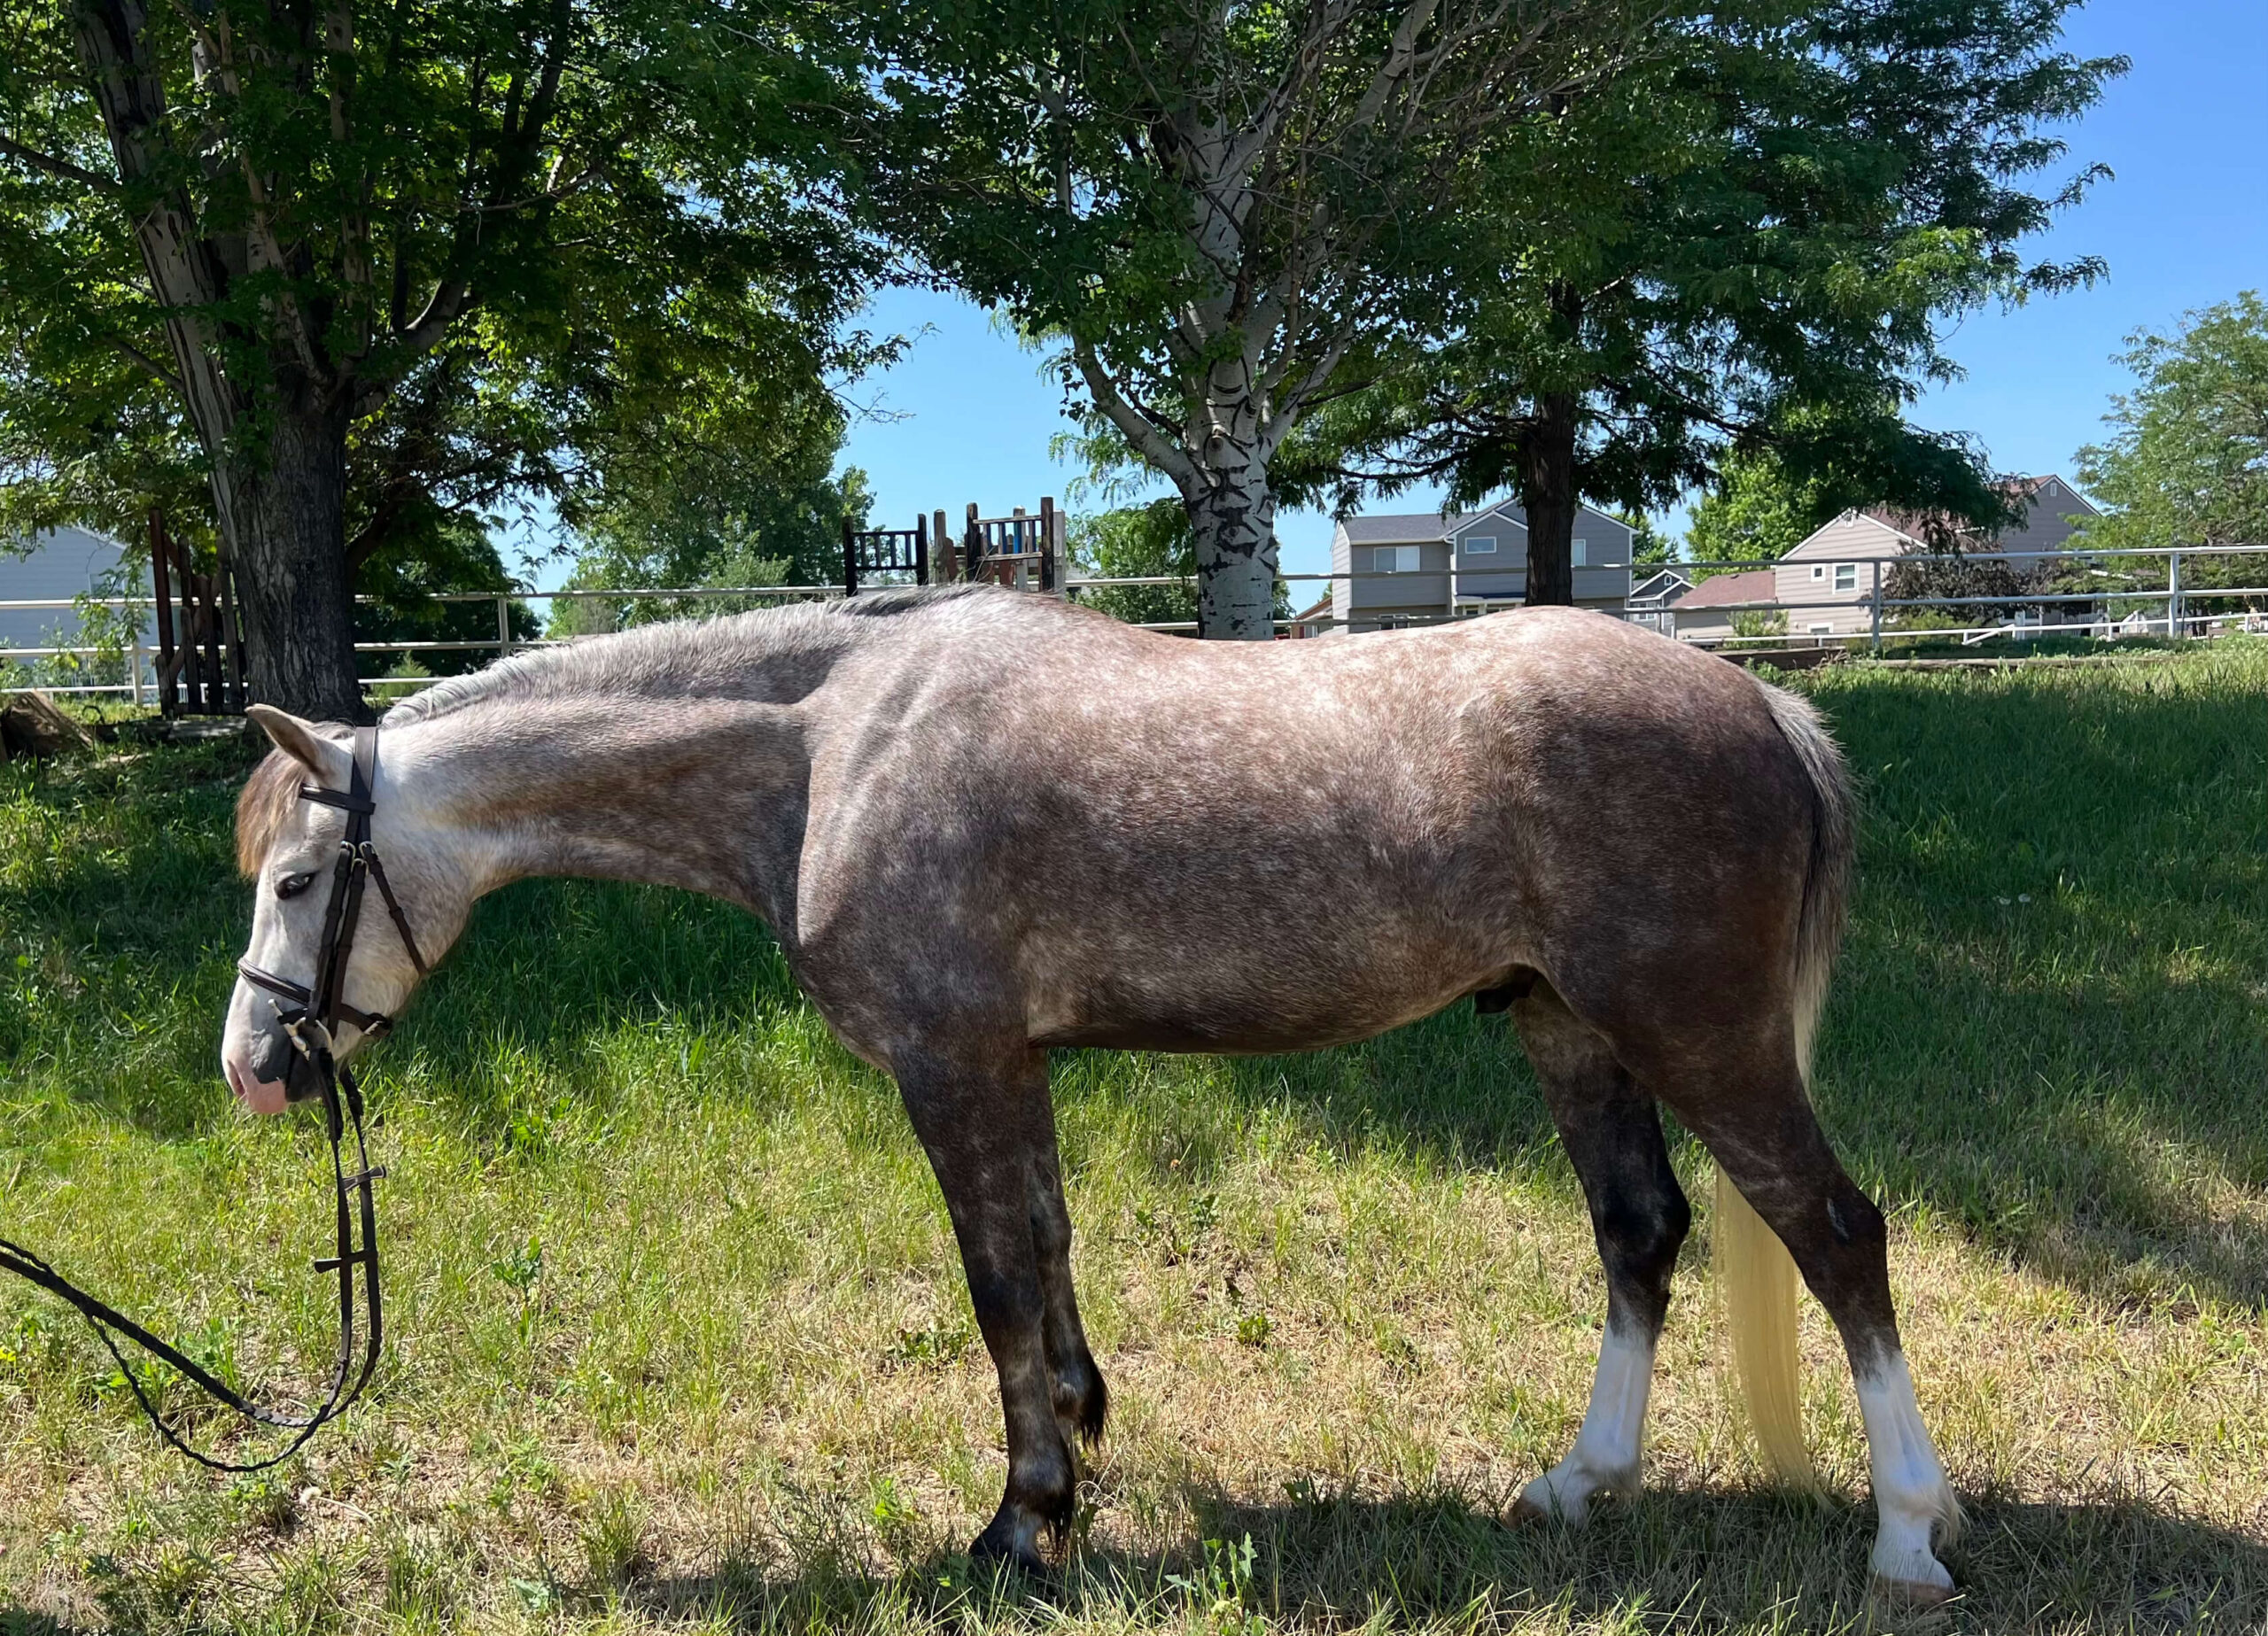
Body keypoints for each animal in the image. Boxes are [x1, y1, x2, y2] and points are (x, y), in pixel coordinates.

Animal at [221, 585, 1962, 1603]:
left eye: (301, 879)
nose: (253, 1068)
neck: (832, 745)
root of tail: (1762, 703)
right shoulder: (1021, 1069)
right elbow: (1049, 1262)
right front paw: (1075, 1457)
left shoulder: (956, 1067)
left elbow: (997, 1286)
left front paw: (1021, 1520)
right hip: (1567, 1027)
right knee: (1640, 1230)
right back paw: (1582, 1482)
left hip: (1698, 1036)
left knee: (1837, 1234)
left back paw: (1908, 1532)